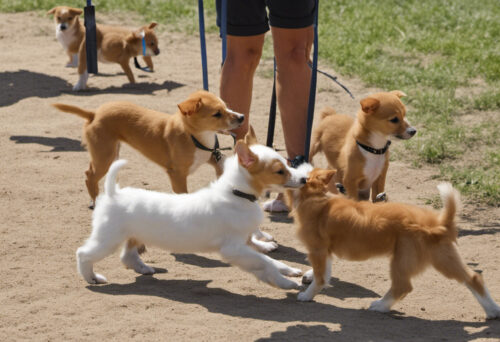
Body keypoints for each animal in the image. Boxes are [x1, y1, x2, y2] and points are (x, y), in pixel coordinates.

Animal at [76, 132, 308, 290]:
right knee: (83, 254)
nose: (304, 179)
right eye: (279, 171)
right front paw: (286, 282)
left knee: (127, 256)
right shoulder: (233, 249)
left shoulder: (244, 243)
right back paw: (92, 278)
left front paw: (288, 270)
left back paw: (143, 268)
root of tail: (113, 193)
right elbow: (264, 263)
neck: (235, 193)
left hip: (132, 235)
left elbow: (270, 260)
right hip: (108, 239)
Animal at [286, 170, 500, 320]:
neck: (316, 197)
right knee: (473, 278)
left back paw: (380, 306)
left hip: (404, 261)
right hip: (443, 256)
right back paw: (493, 311)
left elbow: (321, 276)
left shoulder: (317, 250)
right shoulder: (326, 251)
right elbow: (324, 273)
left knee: (402, 287)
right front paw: (310, 279)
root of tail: (438, 223)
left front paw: (307, 295)